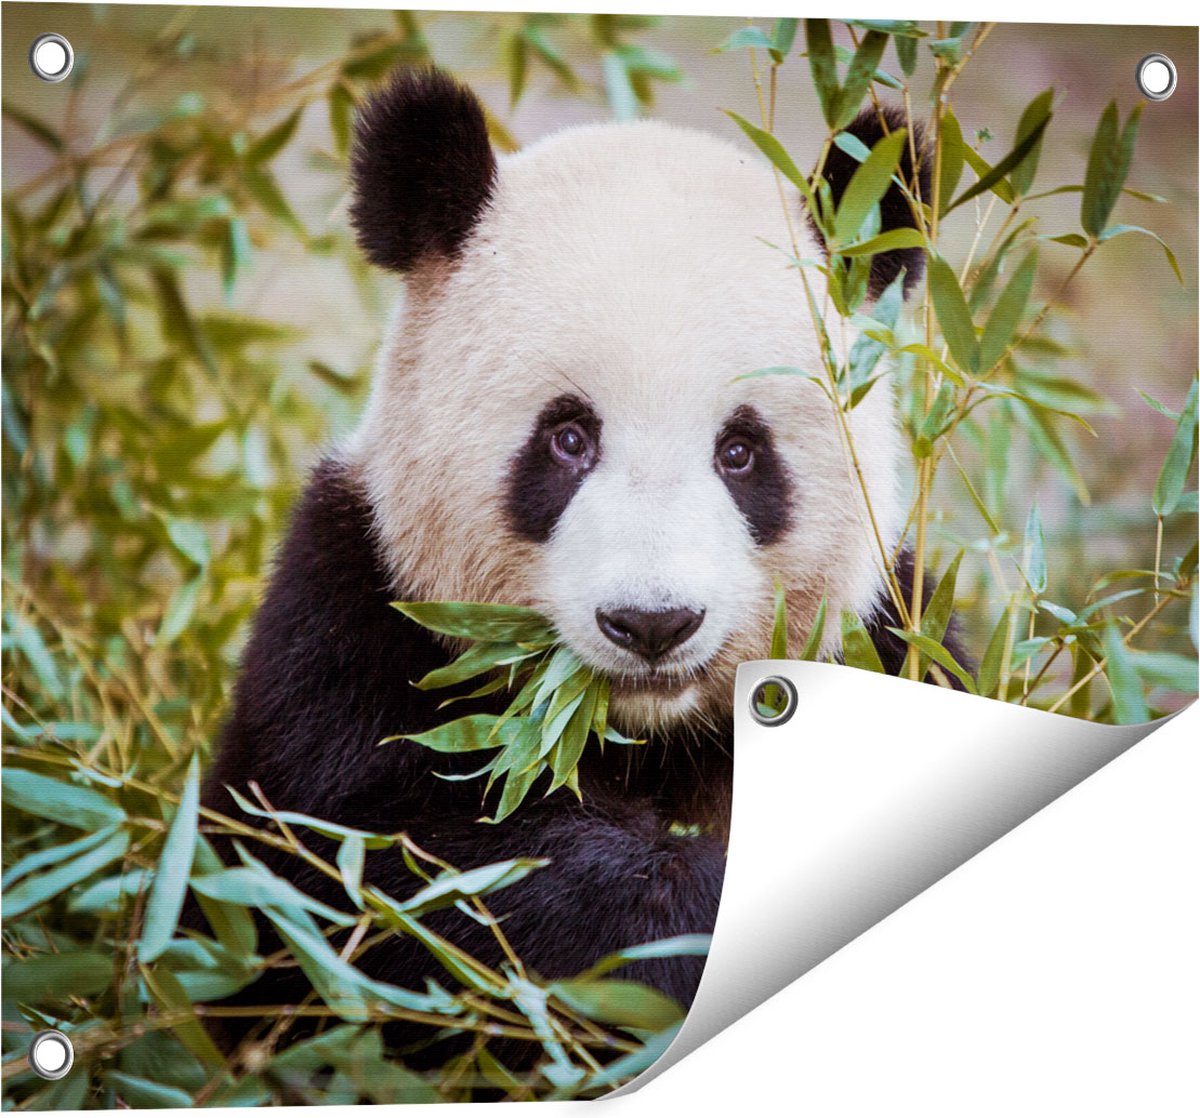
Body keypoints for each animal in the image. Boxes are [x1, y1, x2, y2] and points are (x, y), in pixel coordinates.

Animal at [203, 68, 940, 1040]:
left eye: (741, 452)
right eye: (567, 439)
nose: (653, 623)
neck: (640, 736)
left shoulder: (890, 633)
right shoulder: (348, 626)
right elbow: (396, 868)